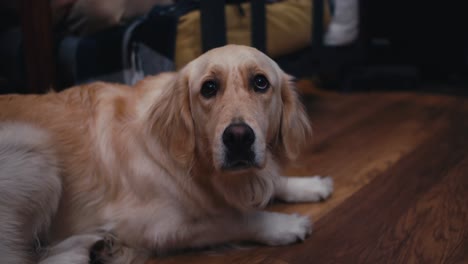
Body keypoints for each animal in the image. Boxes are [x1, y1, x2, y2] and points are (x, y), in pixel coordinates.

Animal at [0, 44, 332, 262]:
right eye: (209, 88)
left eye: (261, 82)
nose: (238, 138)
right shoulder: (155, 227)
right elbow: (234, 219)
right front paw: (284, 225)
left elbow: (270, 181)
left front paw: (308, 184)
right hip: (37, 152)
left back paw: (98, 247)